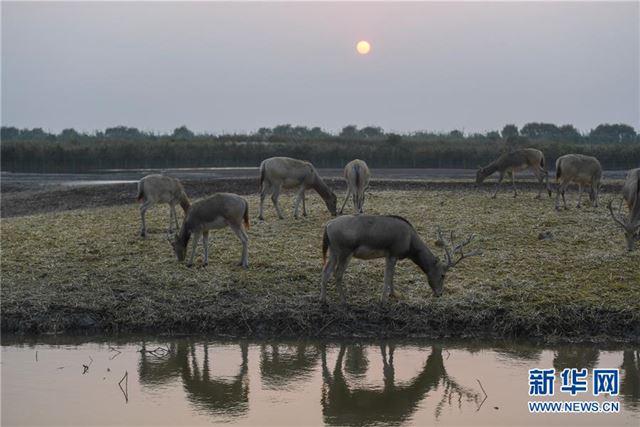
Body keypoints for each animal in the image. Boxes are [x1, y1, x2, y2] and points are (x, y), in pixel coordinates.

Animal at [320, 214, 480, 304]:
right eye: (443, 275)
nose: (439, 294)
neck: (409, 246)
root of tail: (327, 226)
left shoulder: (392, 255)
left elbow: (392, 275)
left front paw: (394, 294)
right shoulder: (393, 252)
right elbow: (387, 277)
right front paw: (383, 300)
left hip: (334, 251)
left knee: (326, 271)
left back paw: (323, 300)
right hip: (345, 251)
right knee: (337, 273)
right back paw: (343, 301)